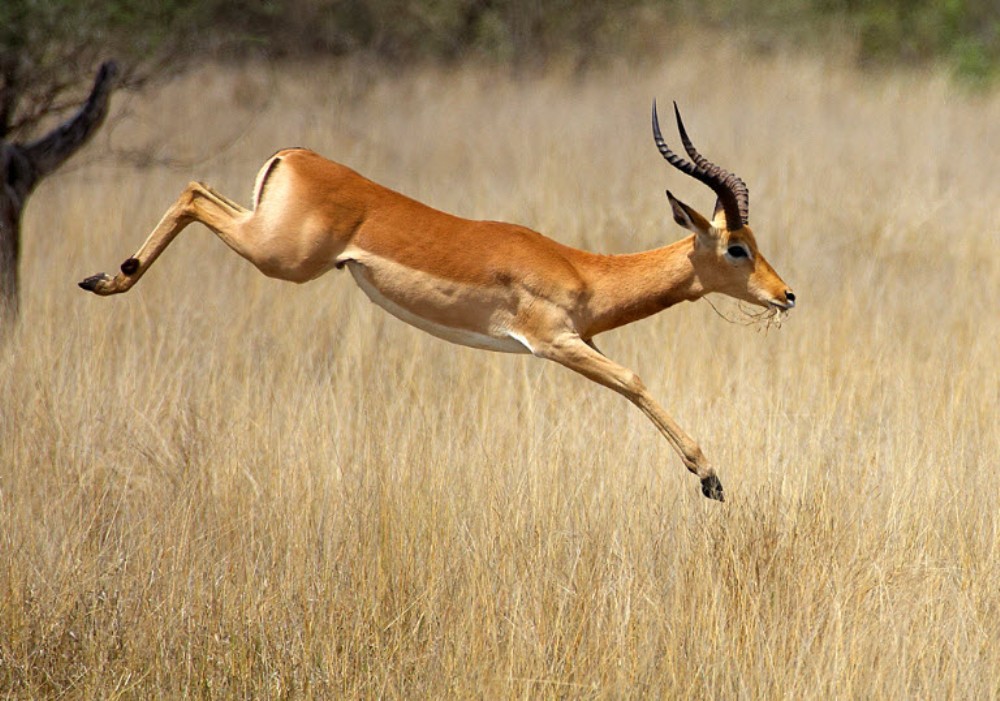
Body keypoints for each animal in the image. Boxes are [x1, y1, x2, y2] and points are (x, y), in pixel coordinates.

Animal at [79, 102, 795, 501]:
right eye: (737, 247)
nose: (786, 295)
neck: (585, 271)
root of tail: (293, 154)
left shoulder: (581, 339)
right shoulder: (554, 343)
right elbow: (635, 381)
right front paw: (710, 478)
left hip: (267, 238)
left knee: (197, 187)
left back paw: (107, 277)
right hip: (282, 259)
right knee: (193, 191)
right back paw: (110, 279)